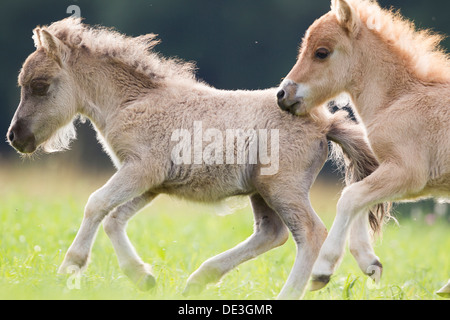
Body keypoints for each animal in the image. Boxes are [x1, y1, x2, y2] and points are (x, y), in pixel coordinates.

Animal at [7, 17, 380, 298]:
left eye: (39, 85)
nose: (15, 137)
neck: (132, 101)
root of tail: (323, 121)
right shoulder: (152, 182)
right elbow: (114, 218)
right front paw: (143, 278)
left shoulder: (142, 169)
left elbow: (96, 204)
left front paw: (68, 269)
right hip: (261, 189)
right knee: (272, 233)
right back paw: (199, 279)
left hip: (282, 187)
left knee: (310, 233)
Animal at [276, 0, 448, 292]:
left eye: (321, 53)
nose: (282, 95)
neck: (398, 99)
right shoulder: (389, 169)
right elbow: (359, 196)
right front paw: (370, 262)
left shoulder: (409, 174)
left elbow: (350, 197)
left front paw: (322, 269)